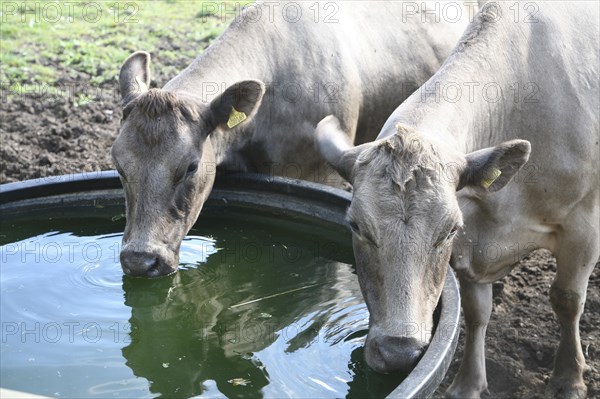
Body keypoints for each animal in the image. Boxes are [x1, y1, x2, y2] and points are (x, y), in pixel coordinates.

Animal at [316, 1, 596, 398]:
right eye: (356, 226)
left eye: (448, 230)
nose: (399, 351)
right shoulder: (472, 245)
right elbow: (476, 312)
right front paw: (468, 383)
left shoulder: (583, 227)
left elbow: (567, 299)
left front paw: (569, 379)